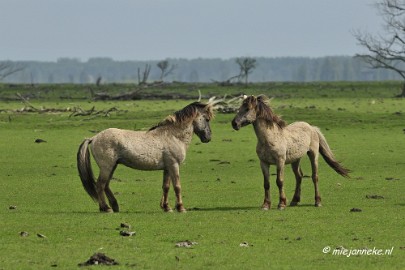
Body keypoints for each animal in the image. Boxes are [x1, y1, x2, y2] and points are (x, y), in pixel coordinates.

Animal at [77, 102, 213, 213]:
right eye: (206, 119)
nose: (208, 138)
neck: (173, 135)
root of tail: (93, 138)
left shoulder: (167, 168)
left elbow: (166, 187)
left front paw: (166, 207)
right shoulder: (174, 165)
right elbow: (177, 187)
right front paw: (180, 208)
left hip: (112, 166)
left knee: (106, 185)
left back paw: (115, 206)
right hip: (107, 167)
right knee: (100, 185)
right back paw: (106, 208)